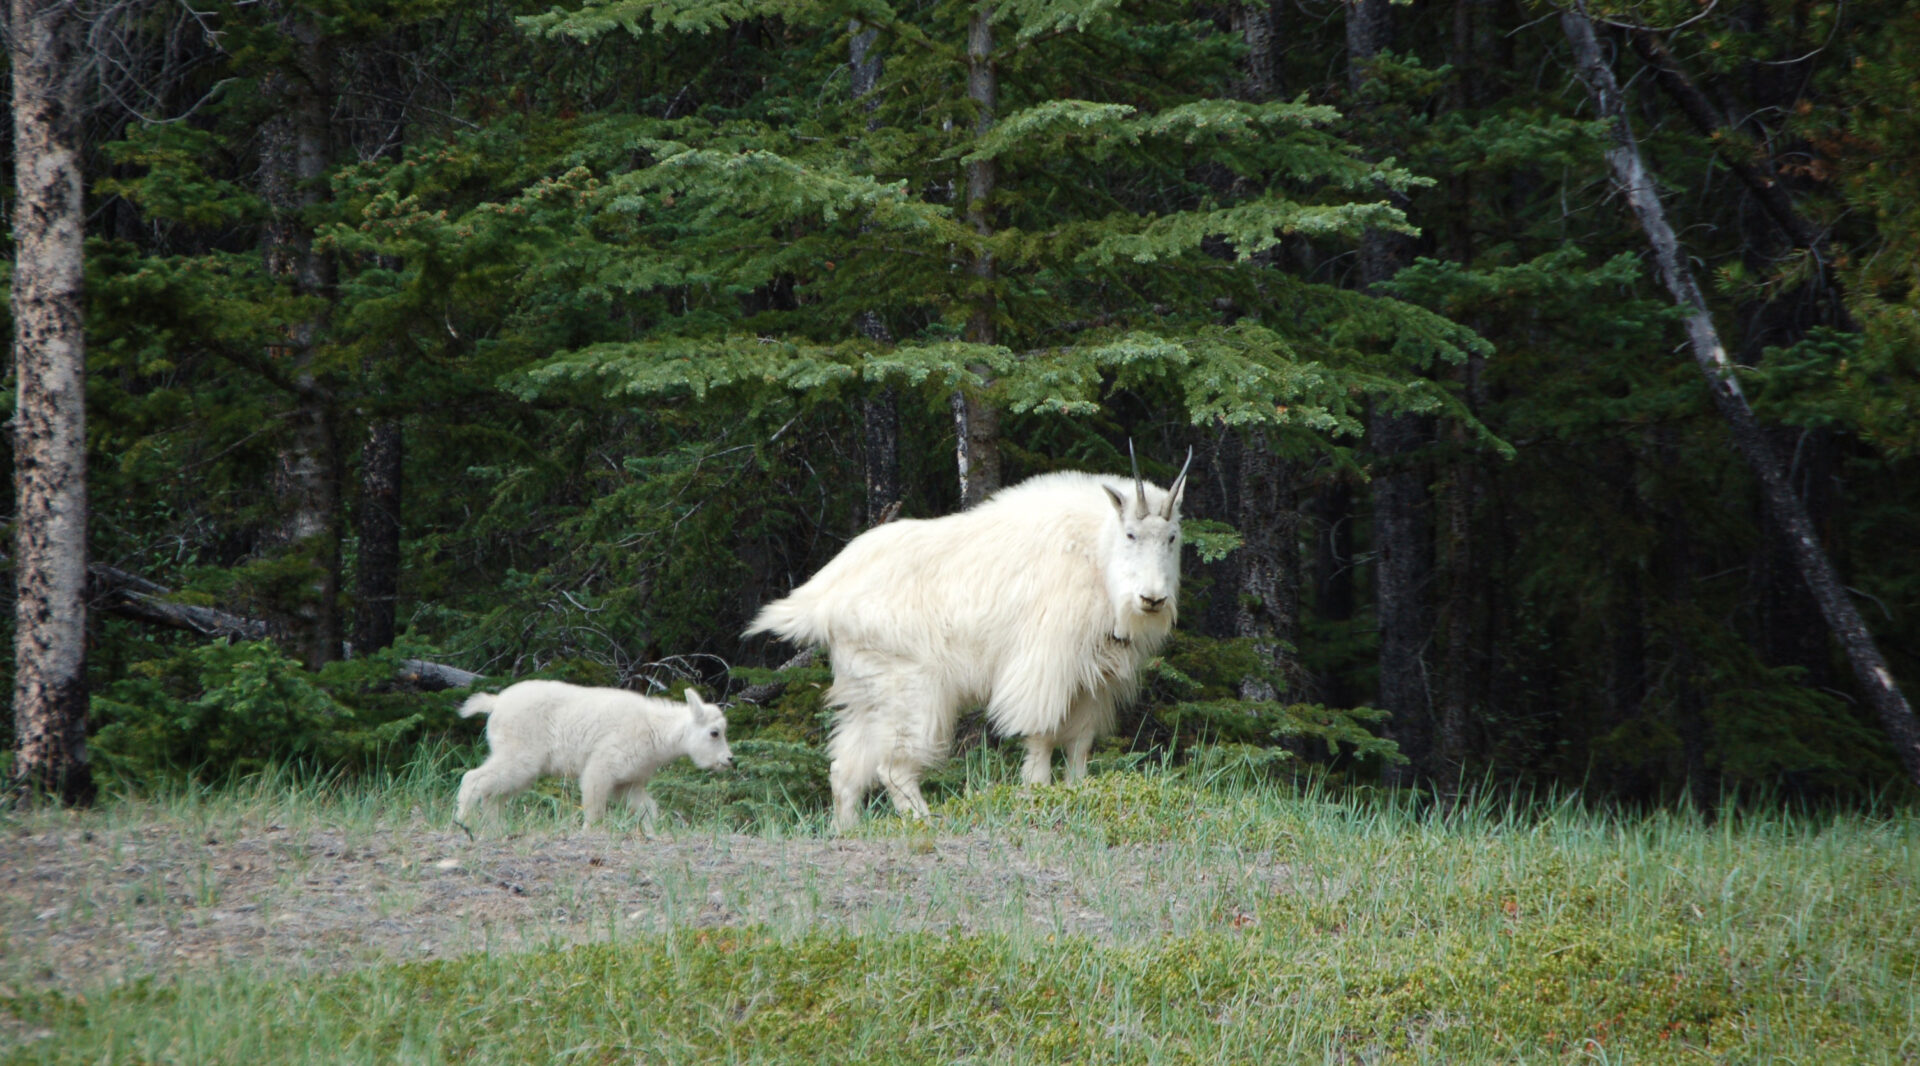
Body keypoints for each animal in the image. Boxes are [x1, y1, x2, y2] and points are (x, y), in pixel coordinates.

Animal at [744, 445, 1182, 829]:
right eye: (1131, 534)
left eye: (1173, 537)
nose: (1152, 599)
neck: (1095, 553)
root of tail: (824, 596)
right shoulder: (1044, 668)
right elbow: (1041, 737)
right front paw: (1037, 793)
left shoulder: (1095, 682)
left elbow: (1080, 745)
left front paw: (1078, 791)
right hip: (912, 688)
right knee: (893, 767)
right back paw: (925, 822)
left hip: (866, 688)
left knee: (845, 768)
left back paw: (846, 831)